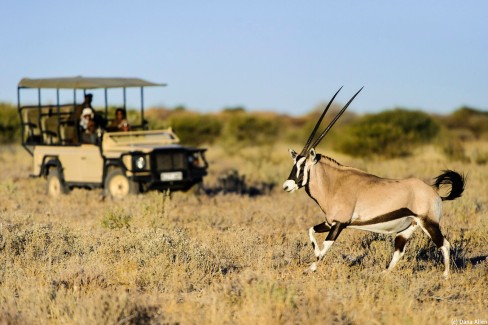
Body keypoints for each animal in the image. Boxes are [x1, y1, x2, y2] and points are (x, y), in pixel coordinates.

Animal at [284, 87, 468, 278]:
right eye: (294, 164)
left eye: (302, 166)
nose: (286, 186)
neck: (334, 184)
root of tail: (436, 195)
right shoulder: (329, 222)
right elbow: (311, 231)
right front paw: (313, 257)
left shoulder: (339, 224)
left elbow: (325, 249)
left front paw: (311, 267)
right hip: (407, 229)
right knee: (399, 251)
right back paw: (383, 274)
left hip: (429, 223)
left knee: (444, 244)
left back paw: (445, 276)